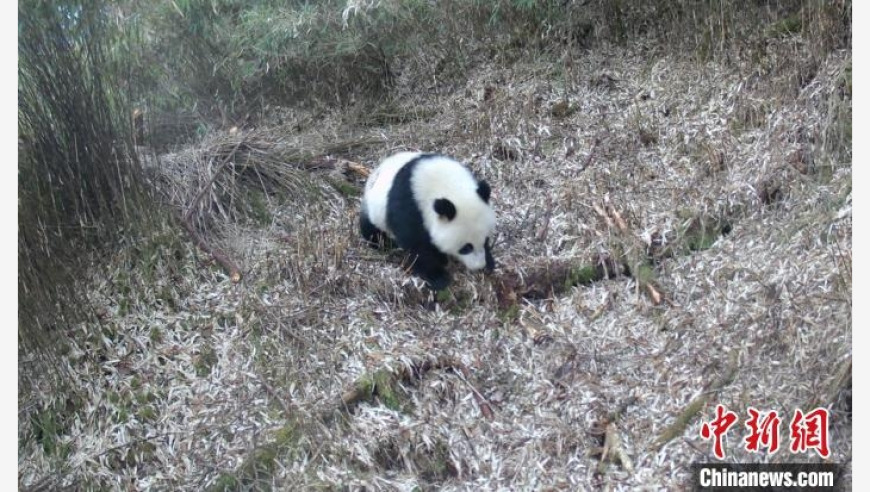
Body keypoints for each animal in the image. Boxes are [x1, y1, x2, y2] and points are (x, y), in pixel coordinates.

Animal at [362, 150, 498, 288]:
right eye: (466, 248)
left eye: (486, 240)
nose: (479, 265)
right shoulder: (409, 206)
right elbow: (416, 245)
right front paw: (438, 277)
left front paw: (489, 262)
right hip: (375, 209)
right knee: (371, 229)